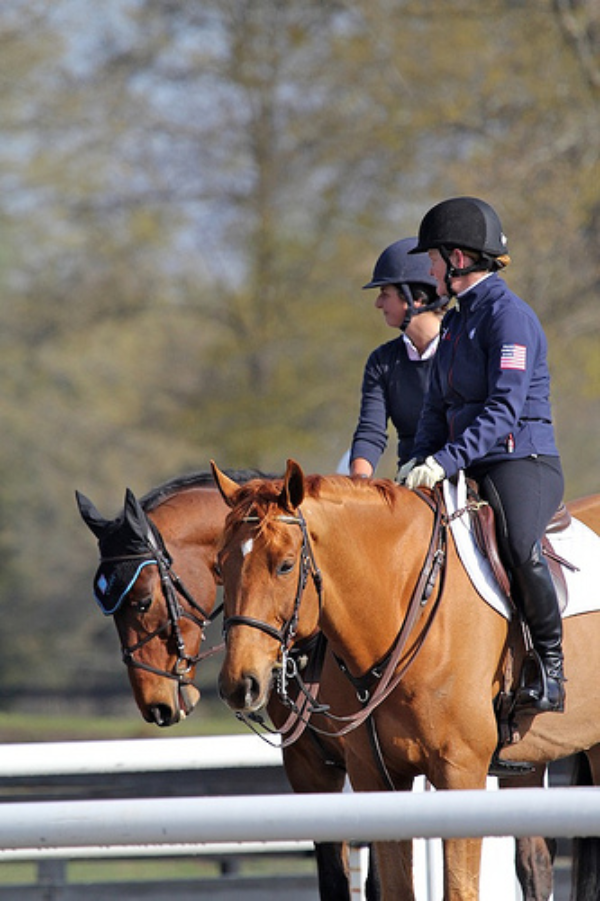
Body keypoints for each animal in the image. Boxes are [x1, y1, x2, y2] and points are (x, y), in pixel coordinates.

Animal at [212, 460, 600, 900]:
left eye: (286, 565)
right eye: (220, 565)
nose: (239, 685)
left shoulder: (460, 773)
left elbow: (458, 889)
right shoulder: (372, 778)